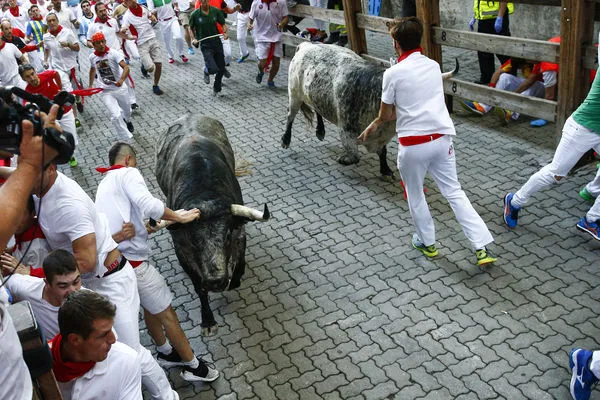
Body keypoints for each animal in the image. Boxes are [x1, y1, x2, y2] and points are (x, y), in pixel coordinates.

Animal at [155, 115, 270, 334]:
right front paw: (208, 321)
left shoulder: (240, 232)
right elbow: (199, 287)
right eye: (193, 240)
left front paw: (235, 279)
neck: (204, 192)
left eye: (227, 236)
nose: (216, 281)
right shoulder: (181, 249)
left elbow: (239, 261)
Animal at [284, 41, 458, 177]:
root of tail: (306, 45)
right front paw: (344, 159)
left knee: (317, 109)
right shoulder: (346, 130)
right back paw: (286, 140)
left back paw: (320, 131)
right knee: (290, 116)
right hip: (294, 93)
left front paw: (385, 169)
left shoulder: (382, 137)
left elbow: (383, 152)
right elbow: (354, 155)